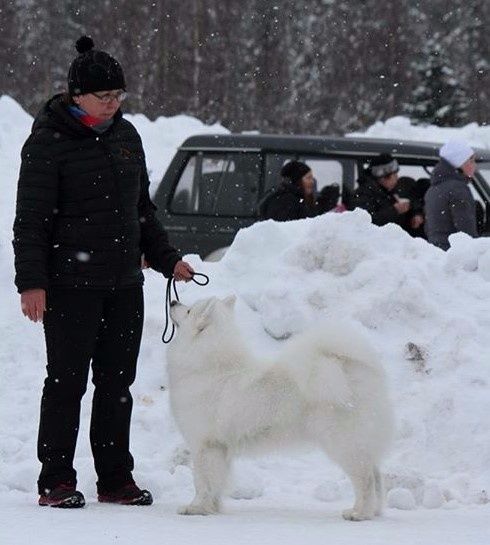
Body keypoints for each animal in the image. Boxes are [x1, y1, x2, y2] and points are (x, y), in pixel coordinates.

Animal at [168, 296, 394, 520]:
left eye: (188, 311)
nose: (172, 302)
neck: (211, 368)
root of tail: (354, 368)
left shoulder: (205, 445)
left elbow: (201, 481)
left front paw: (195, 508)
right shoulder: (218, 449)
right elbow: (215, 482)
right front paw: (212, 508)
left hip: (343, 443)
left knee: (365, 478)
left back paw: (359, 513)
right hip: (359, 442)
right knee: (376, 475)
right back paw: (372, 511)